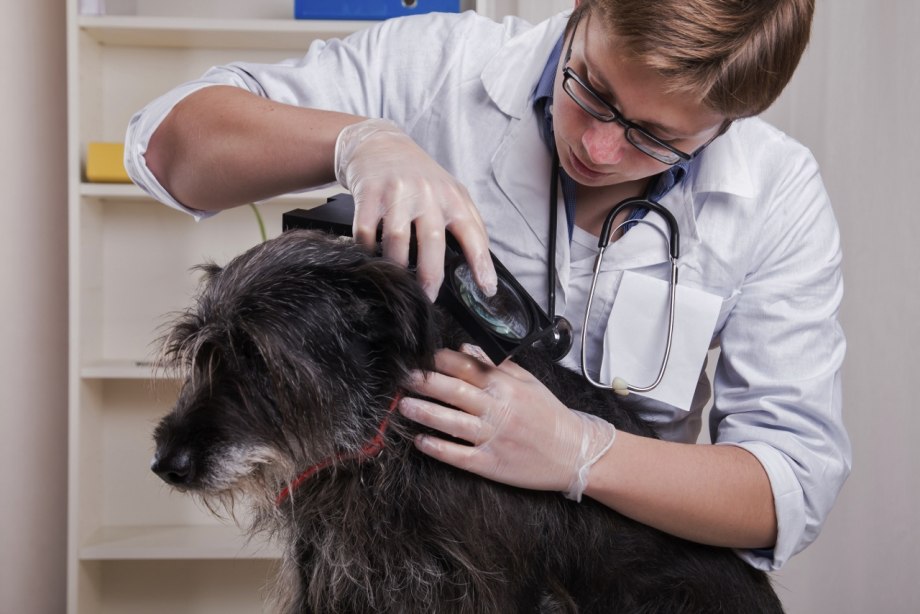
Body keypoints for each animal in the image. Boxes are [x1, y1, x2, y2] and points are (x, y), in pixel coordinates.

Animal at [151, 229, 784, 613]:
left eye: (258, 358)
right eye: (202, 356)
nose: (166, 463)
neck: (385, 445)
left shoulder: (492, 586)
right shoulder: (329, 573)